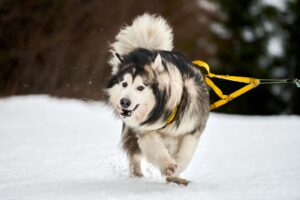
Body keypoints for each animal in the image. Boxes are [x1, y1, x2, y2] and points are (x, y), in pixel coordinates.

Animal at [106, 13, 210, 186]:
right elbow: (154, 147)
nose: (124, 102)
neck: (166, 111)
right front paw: (168, 166)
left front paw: (175, 174)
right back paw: (137, 175)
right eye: (124, 84)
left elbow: (185, 154)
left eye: (141, 87)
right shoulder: (143, 130)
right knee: (133, 154)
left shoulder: (192, 128)